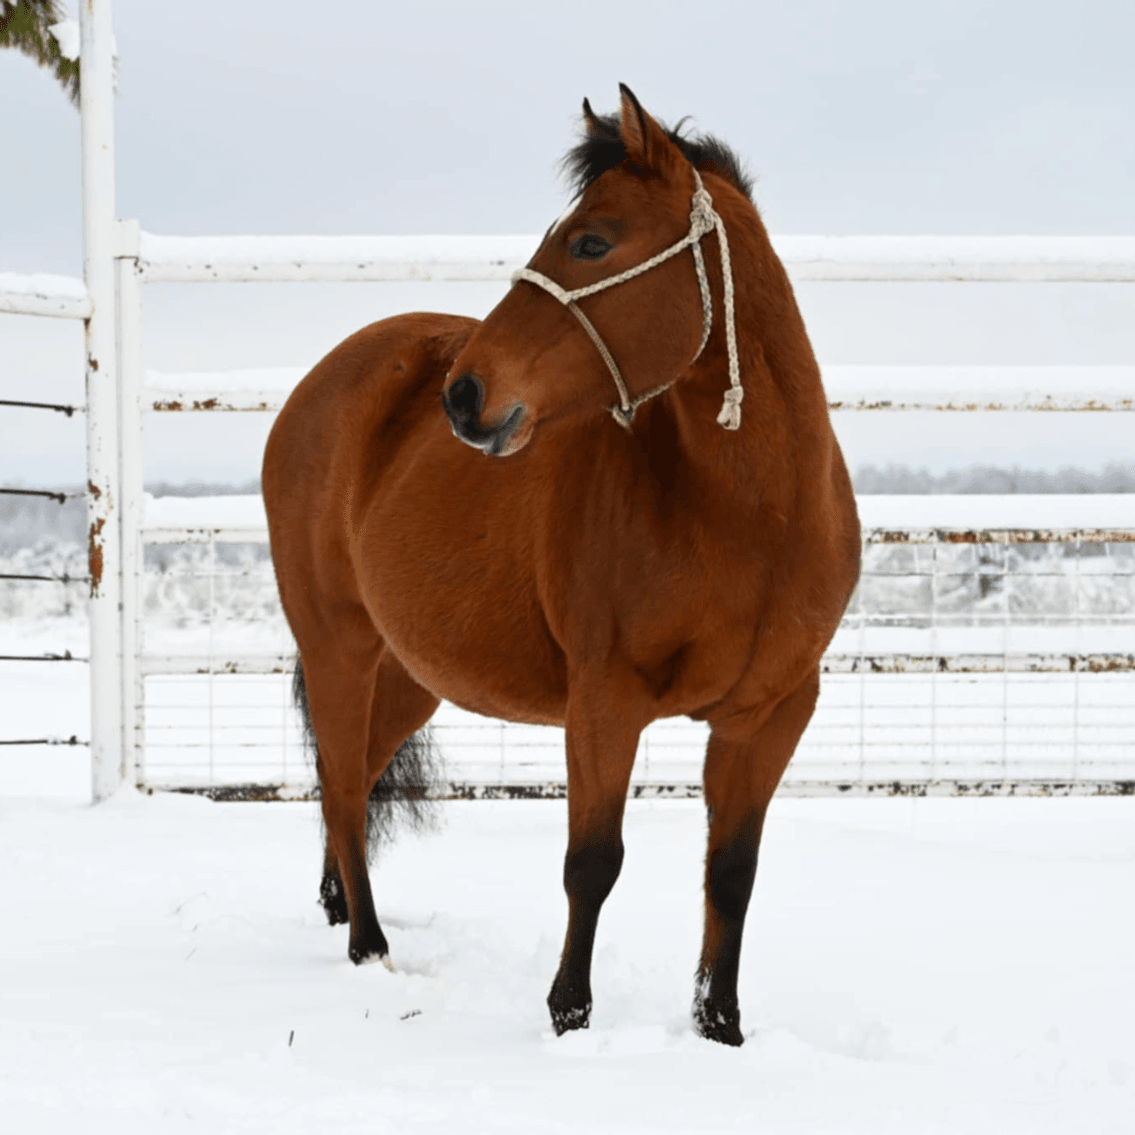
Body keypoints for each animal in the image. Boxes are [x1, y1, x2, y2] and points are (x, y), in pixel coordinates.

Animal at [262, 84, 861, 1046]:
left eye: (590, 242)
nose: (464, 395)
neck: (748, 517)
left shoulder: (769, 714)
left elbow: (731, 871)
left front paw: (720, 1026)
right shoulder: (604, 700)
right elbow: (593, 861)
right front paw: (569, 1014)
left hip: (409, 671)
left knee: (344, 778)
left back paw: (337, 909)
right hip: (337, 647)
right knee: (347, 788)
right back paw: (368, 945)